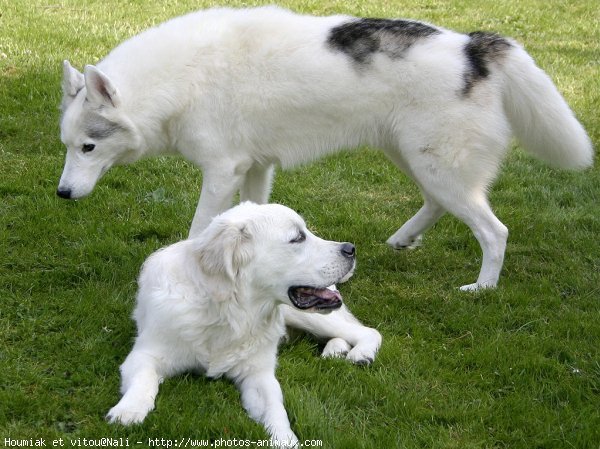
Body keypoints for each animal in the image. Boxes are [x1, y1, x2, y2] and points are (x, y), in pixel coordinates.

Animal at [58, 6, 592, 290]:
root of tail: (474, 46)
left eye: (88, 147)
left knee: (494, 232)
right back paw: (403, 240)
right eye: (69, 147)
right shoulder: (255, 169)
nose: (61, 195)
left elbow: (198, 228)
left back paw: (482, 288)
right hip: (417, 161)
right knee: (438, 205)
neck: (179, 78)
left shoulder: (222, 171)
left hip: (438, 167)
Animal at [105, 203, 372, 444]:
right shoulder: (146, 354)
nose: (350, 248)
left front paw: (286, 440)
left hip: (308, 316)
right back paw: (335, 350)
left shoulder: (259, 375)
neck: (231, 312)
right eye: (297, 238)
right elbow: (144, 380)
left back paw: (361, 353)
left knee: (366, 331)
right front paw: (127, 411)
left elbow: (276, 410)